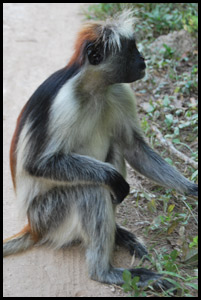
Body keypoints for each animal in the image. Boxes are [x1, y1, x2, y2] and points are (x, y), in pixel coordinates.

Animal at [3, 10, 198, 290]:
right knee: (93, 188)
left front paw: (192, 189)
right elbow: (37, 164)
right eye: (131, 50)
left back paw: (117, 235)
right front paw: (115, 180)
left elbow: (133, 148)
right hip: (48, 215)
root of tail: (33, 227)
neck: (95, 88)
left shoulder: (119, 90)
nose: (143, 59)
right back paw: (104, 271)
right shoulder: (64, 101)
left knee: (114, 152)